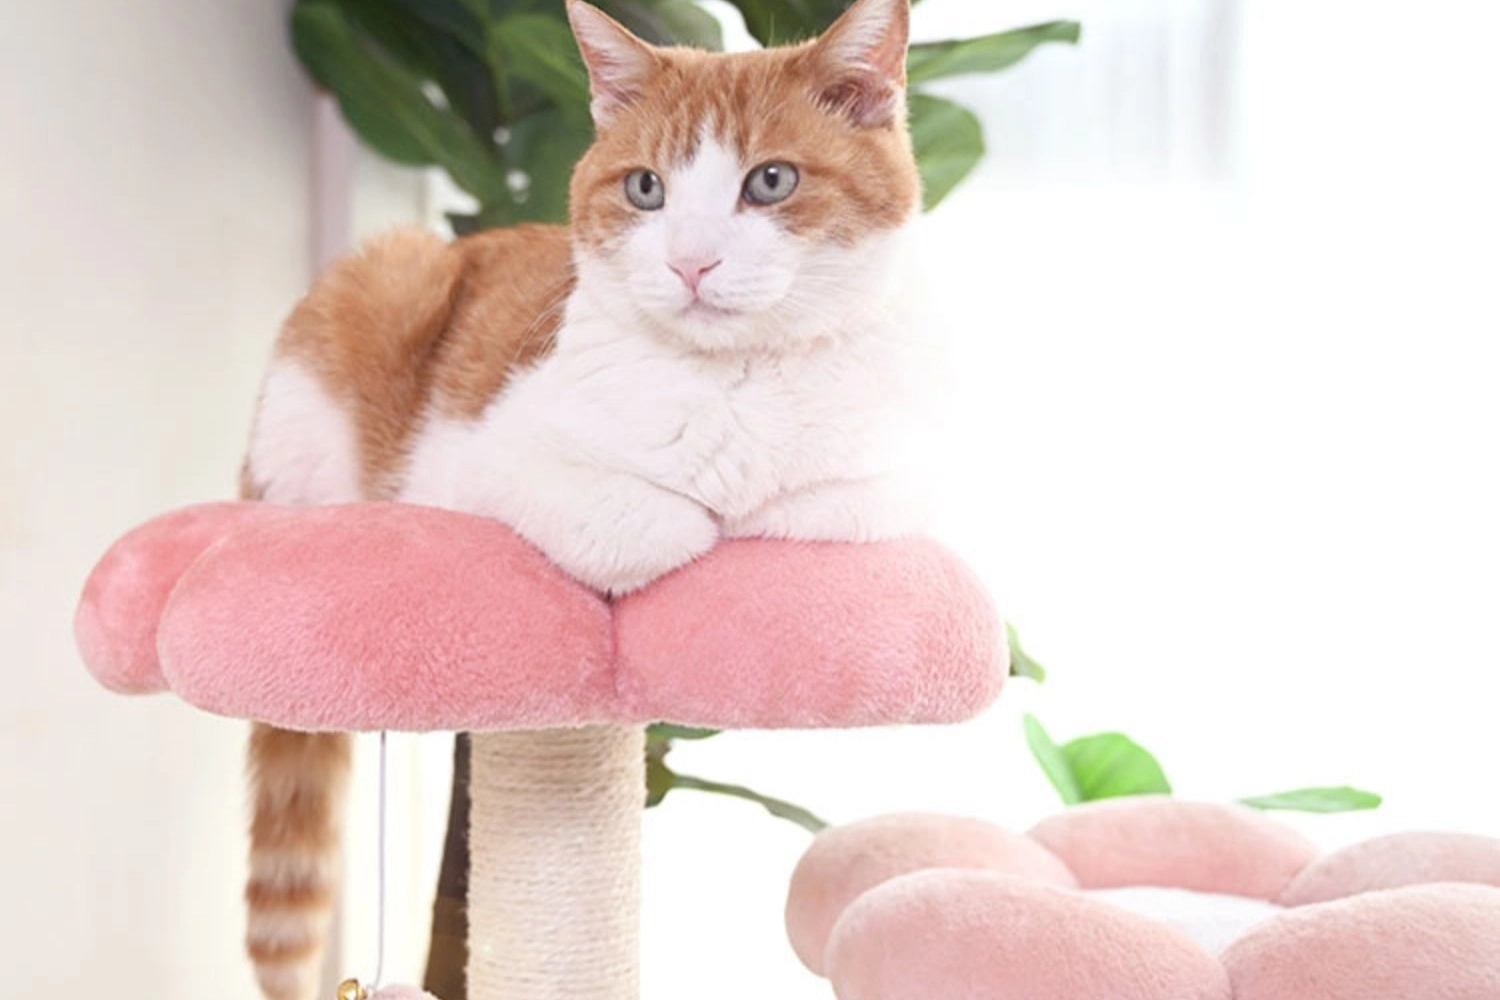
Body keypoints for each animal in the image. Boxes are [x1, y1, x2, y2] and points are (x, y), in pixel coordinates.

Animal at [240, 1, 924, 995]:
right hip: (371, 316)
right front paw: (694, 519)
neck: (730, 385)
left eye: (771, 181)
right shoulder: (487, 460)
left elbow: (812, 505)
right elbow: (657, 524)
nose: (691, 263)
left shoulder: (899, 482)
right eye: (646, 189)